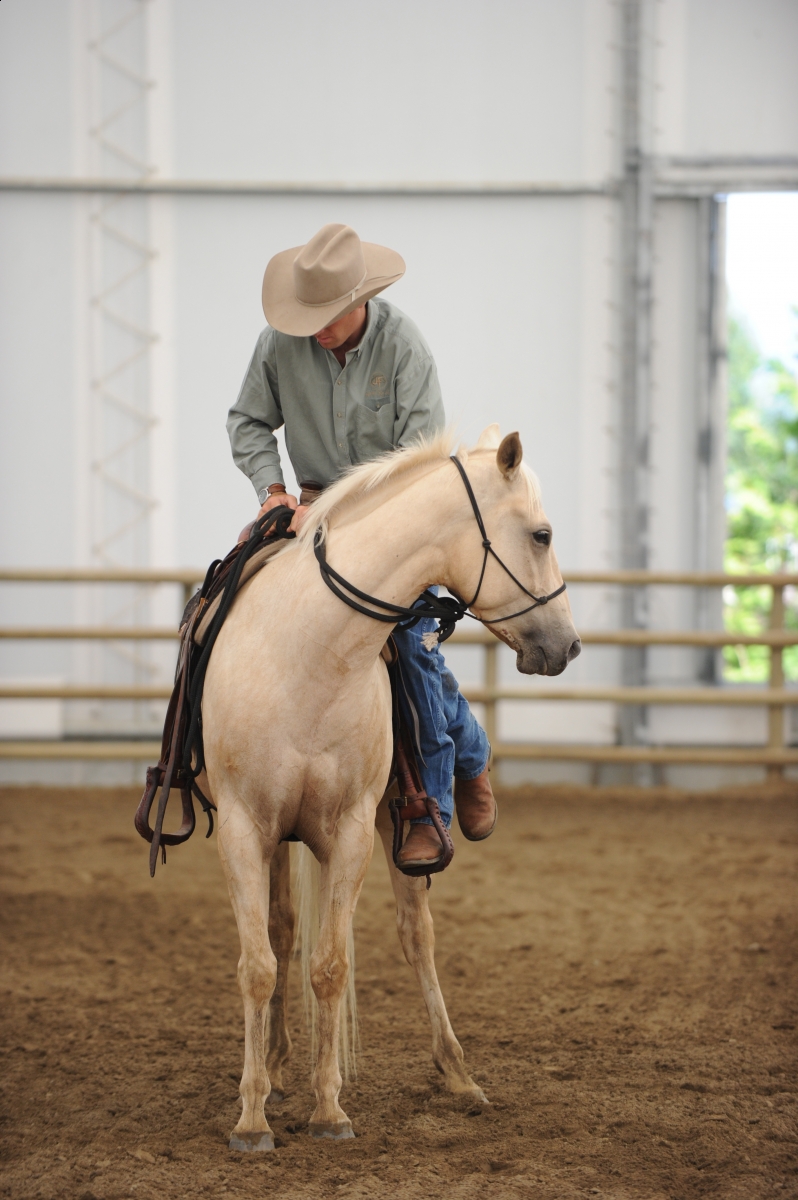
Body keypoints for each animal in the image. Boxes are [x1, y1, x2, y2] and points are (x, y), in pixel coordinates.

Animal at [199, 424, 580, 1150]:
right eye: (542, 534)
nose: (569, 645)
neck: (308, 653)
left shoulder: (349, 829)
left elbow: (330, 966)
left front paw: (329, 1108)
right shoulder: (241, 828)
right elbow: (257, 965)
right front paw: (252, 1114)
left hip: (393, 824)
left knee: (415, 936)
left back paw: (457, 1074)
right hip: (277, 840)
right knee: (282, 932)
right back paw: (279, 1068)